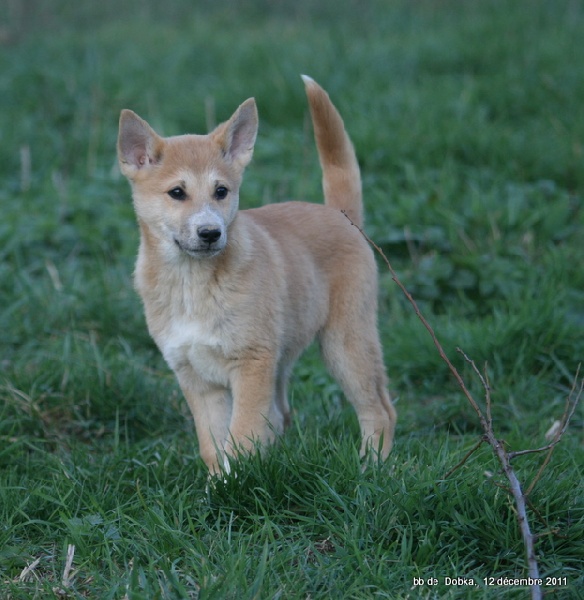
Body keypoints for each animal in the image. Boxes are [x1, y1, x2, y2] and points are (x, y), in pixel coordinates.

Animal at [116, 75, 396, 474]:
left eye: (221, 191)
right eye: (177, 192)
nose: (210, 233)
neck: (192, 284)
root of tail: (341, 215)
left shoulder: (251, 363)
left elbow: (241, 437)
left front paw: (237, 483)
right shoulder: (196, 377)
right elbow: (214, 446)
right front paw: (218, 486)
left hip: (346, 342)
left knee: (380, 410)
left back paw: (371, 469)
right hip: (288, 356)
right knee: (282, 414)